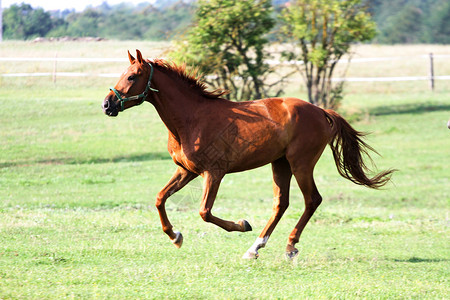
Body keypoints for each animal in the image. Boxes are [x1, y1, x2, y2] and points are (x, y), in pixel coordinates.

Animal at [101, 50, 390, 258]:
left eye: (132, 76)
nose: (107, 105)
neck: (191, 119)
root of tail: (320, 111)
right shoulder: (186, 170)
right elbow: (160, 198)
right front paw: (176, 237)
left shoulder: (214, 173)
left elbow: (204, 212)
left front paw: (242, 224)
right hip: (280, 164)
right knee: (281, 203)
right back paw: (254, 248)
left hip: (301, 163)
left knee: (312, 200)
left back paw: (289, 247)